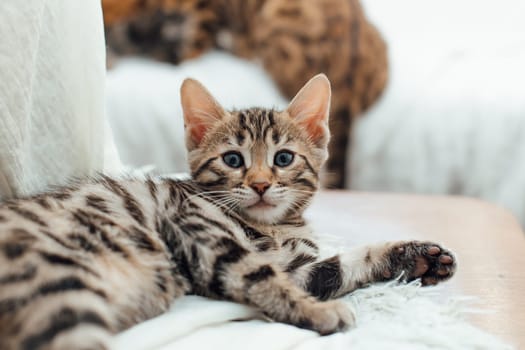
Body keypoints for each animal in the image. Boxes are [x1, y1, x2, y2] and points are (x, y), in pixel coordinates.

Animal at [0, 75, 452, 348]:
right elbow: (263, 278)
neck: (273, 229)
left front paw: (414, 256)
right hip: (59, 286)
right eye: (233, 160)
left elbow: (339, 265)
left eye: (283, 158)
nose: (260, 184)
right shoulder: (205, 238)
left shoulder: (295, 267)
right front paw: (319, 312)